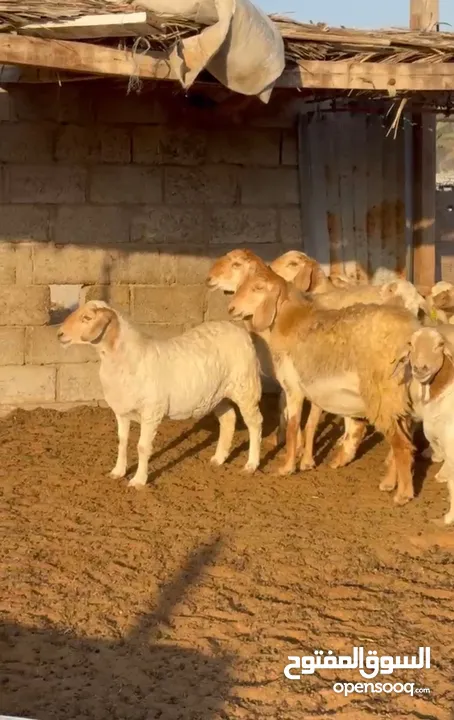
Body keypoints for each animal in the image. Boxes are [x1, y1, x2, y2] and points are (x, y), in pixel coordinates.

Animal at [57, 300, 262, 486]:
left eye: (87, 318)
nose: (59, 334)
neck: (123, 358)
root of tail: (237, 330)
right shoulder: (121, 411)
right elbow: (122, 442)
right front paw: (118, 472)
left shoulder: (151, 412)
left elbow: (142, 447)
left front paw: (138, 481)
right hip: (216, 394)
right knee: (228, 418)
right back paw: (219, 458)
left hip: (246, 386)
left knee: (255, 423)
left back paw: (251, 465)